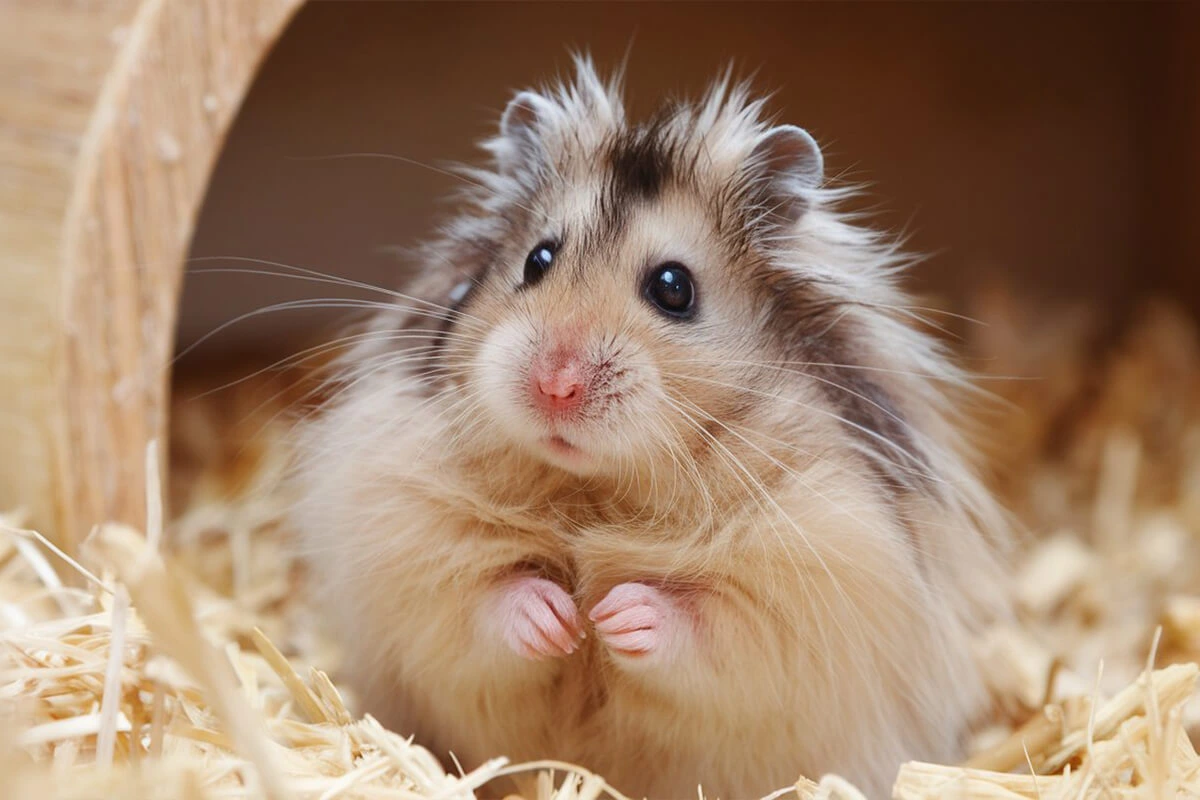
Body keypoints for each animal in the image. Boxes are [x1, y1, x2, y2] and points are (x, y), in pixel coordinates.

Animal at [288, 57, 1003, 800]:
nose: (556, 385)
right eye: (537, 260)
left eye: (673, 287)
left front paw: (613, 615)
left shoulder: (811, 572)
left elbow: (710, 624)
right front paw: (562, 618)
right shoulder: (408, 536)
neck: (595, 488)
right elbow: (485, 599)